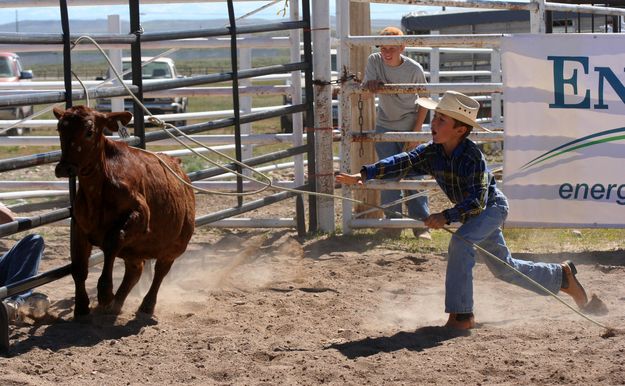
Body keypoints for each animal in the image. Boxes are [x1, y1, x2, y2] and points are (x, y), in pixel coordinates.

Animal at [54, 105, 195, 316]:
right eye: (60, 129)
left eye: (89, 131)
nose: (65, 168)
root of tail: (177, 165)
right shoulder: (79, 226)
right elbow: (78, 267)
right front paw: (81, 307)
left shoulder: (140, 215)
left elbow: (113, 241)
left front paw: (105, 293)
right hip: (135, 250)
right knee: (135, 271)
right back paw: (117, 304)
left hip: (176, 246)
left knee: (160, 271)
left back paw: (146, 305)